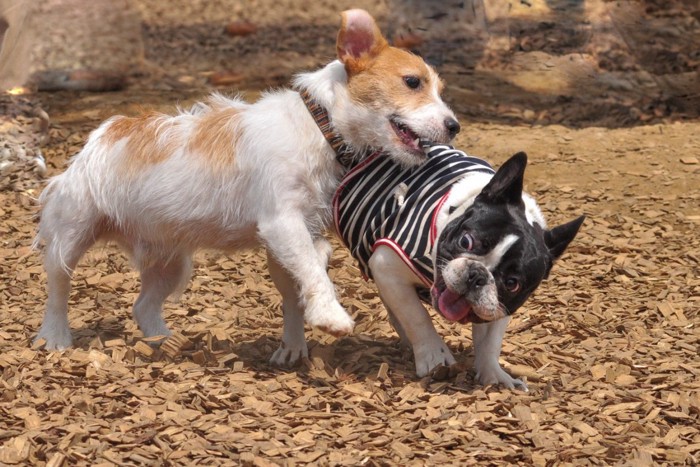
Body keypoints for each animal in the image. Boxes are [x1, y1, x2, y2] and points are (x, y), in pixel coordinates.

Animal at [34, 10, 460, 366]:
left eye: (439, 89)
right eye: (412, 82)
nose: (454, 126)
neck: (319, 125)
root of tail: (104, 132)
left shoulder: (298, 232)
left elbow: (304, 274)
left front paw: (297, 338)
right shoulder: (282, 223)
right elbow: (313, 271)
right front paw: (330, 316)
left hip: (169, 263)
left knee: (143, 306)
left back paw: (165, 341)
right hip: (71, 235)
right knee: (58, 286)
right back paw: (55, 336)